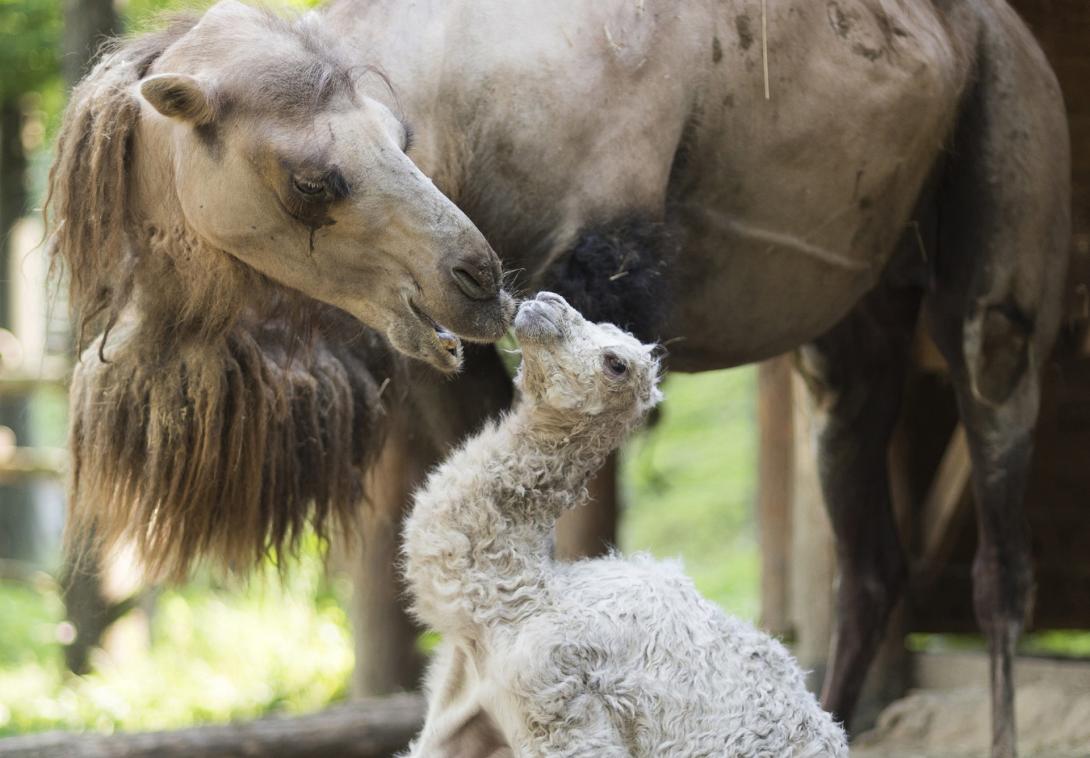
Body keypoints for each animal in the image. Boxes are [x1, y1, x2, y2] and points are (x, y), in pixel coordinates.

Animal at [403, 294, 850, 754]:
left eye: (616, 363)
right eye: (596, 319)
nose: (547, 302)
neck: (510, 605)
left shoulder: (557, 699)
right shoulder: (462, 707)